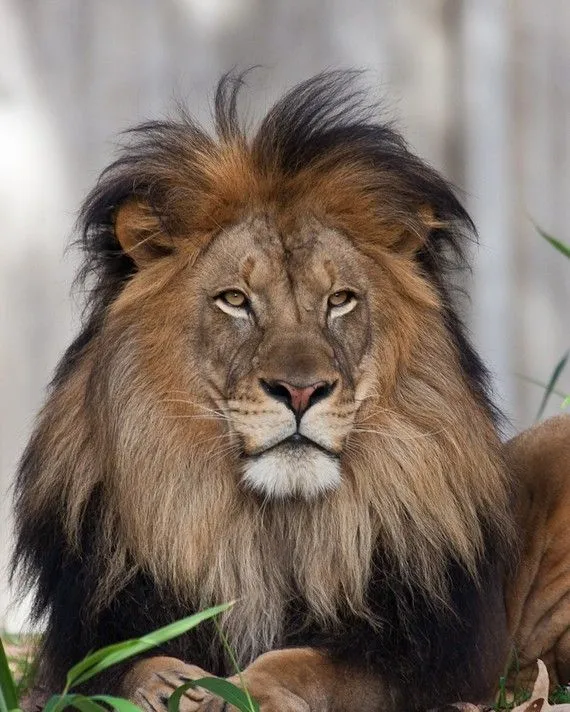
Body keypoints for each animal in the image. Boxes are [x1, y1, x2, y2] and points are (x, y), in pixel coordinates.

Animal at [11, 71, 570, 712]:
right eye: (235, 300)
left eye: (340, 300)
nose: (301, 391)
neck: (268, 528)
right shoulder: (78, 650)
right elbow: (117, 672)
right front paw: (169, 686)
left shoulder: (427, 665)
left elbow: (303, 663)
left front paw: (237, 691)